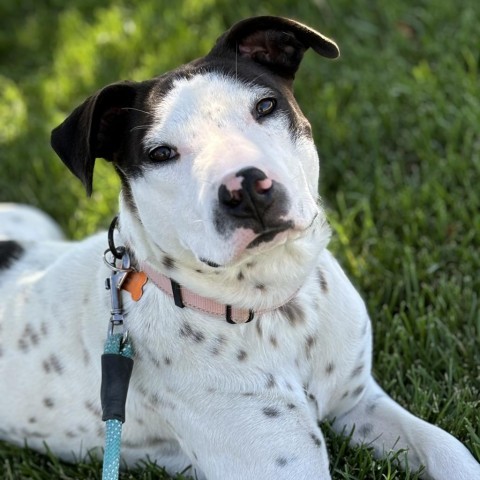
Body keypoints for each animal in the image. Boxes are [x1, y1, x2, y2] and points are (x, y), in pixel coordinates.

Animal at [0, 15, 480, 480]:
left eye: (265, 107)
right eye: (160, 154)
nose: (246, 188)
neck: (278, 308)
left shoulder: (359, 403)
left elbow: (446, 448)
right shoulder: (287, 465)